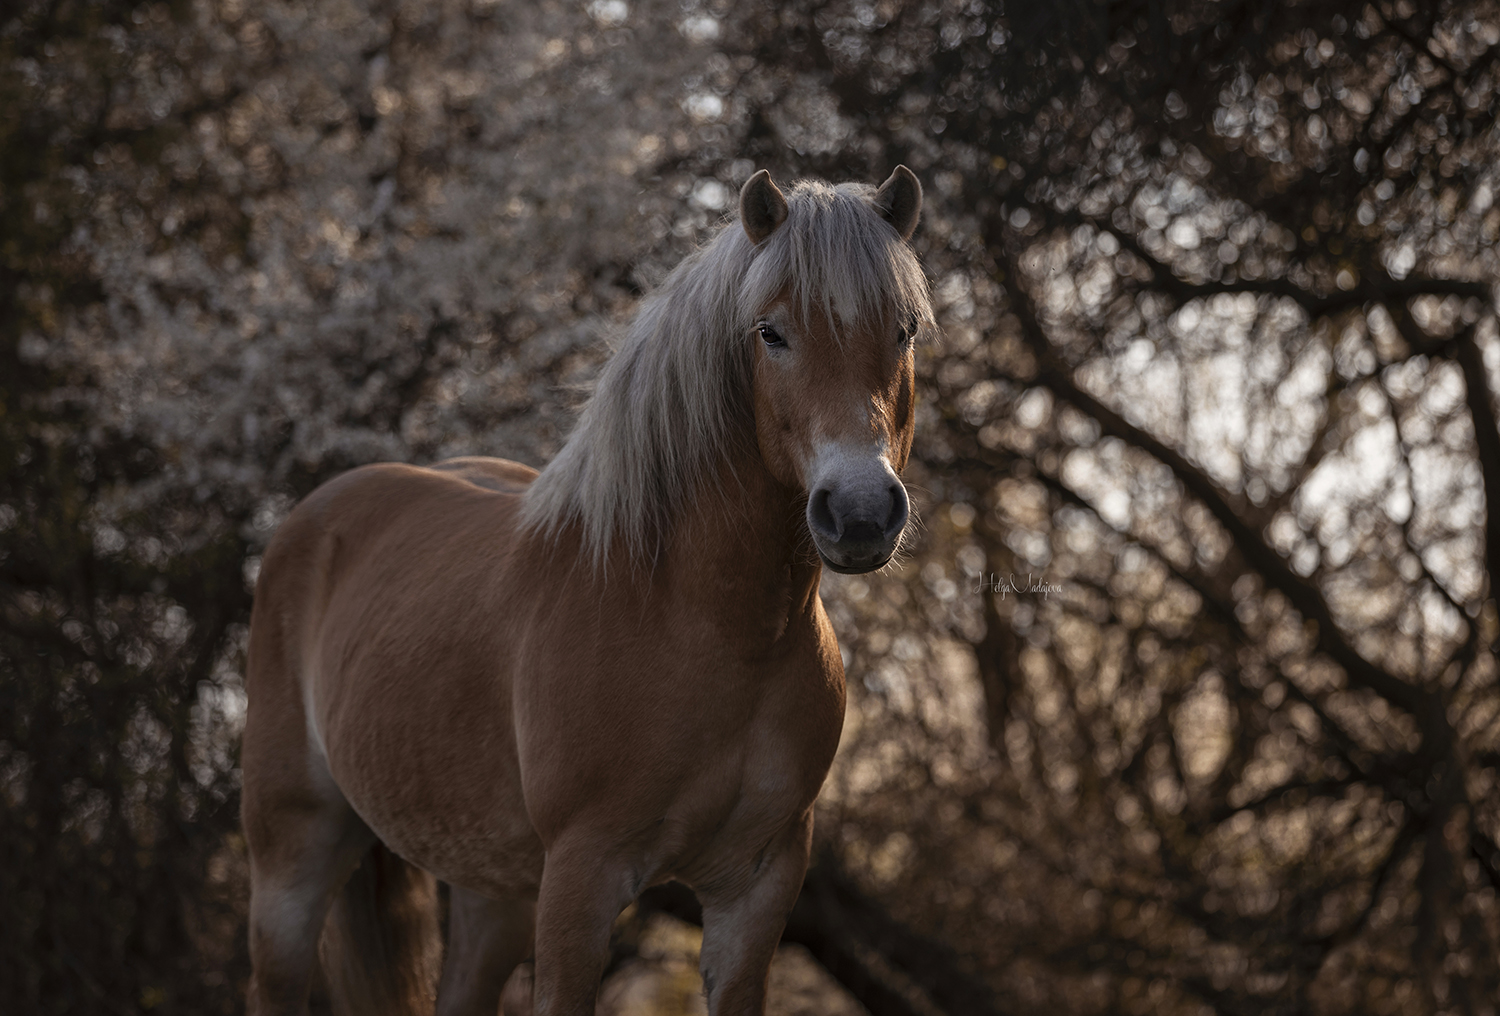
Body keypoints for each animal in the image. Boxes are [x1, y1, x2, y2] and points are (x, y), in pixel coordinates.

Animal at [240, 166, 930, 1014]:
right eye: (771, 333)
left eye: (903, 331)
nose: (860, 511)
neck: (708, 623)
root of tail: (318, 512)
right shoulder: (581, 881)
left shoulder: (756, 890)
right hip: (291, 861)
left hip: (492, 890)